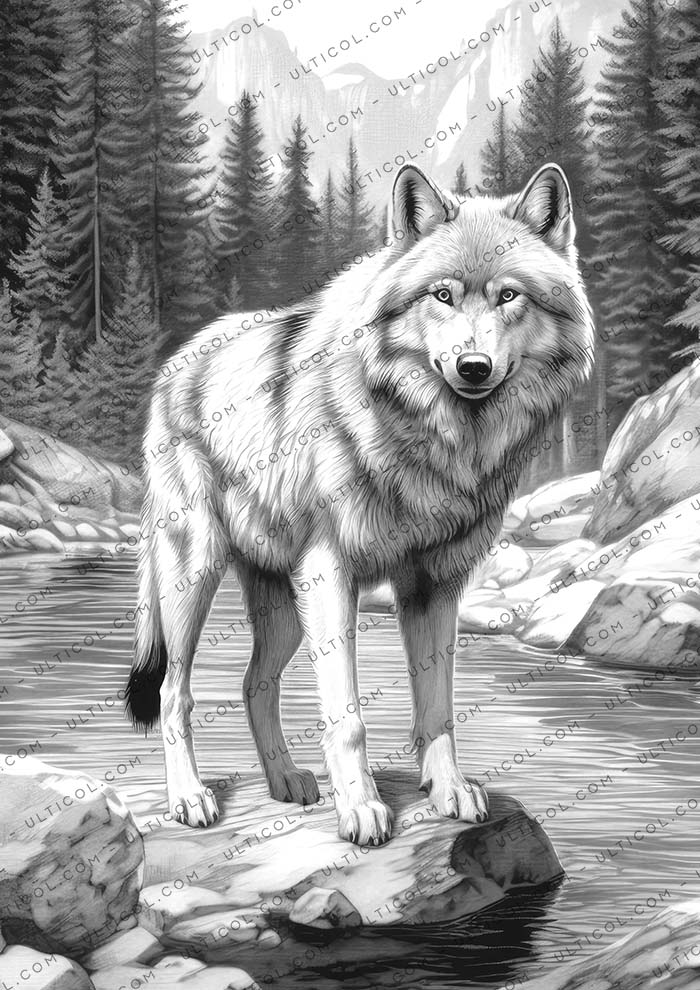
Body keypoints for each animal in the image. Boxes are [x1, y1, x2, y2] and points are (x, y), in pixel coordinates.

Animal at [126, 162, 594, 845]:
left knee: (253, 685)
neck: (434, 437)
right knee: (172, 693)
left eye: (509, 296)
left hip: (283, 606)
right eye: (442, 295)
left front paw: (448, 792)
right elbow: (347, 719)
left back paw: (286, 784)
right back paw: (189, 798)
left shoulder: (435, 585)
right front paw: (363, 810)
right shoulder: (329, 573)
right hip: (195, 577)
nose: (473, 366)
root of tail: (173, 365)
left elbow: (437, 707)